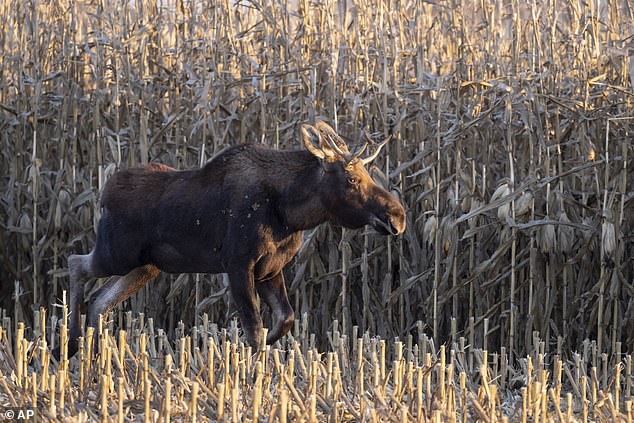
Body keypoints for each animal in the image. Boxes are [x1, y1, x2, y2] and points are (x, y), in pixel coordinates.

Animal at [58, 121, 404, 360]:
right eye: (352, 178)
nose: (398, 217)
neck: (290, 212)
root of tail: (103, 194)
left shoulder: (270, 269)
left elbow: (284, 320)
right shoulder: (238, 264)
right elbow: (254, 329)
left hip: (146, 266)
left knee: (100, 300)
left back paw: (95, 356)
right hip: (116, 253)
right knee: (75, 264)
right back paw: (71, 344)